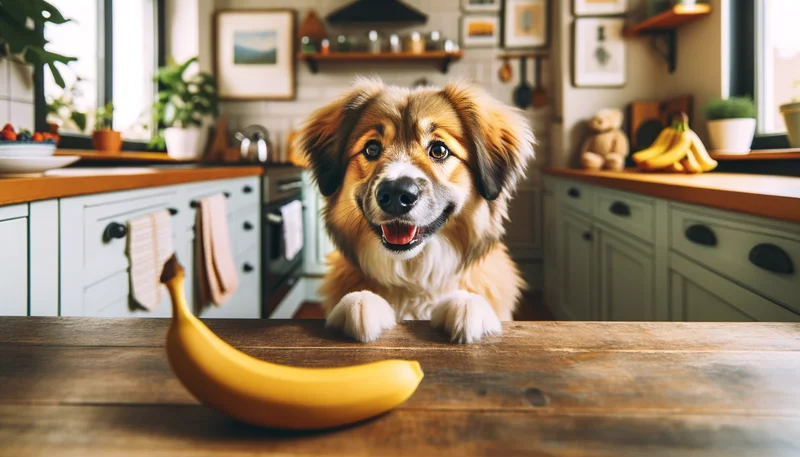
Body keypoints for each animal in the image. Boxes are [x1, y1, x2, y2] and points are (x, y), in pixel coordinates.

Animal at [296, 77, 536, 342]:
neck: (413, 278)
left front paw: (467, 304)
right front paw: (360, 302)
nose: (395, 196)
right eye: (371, 149)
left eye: (439, 150)